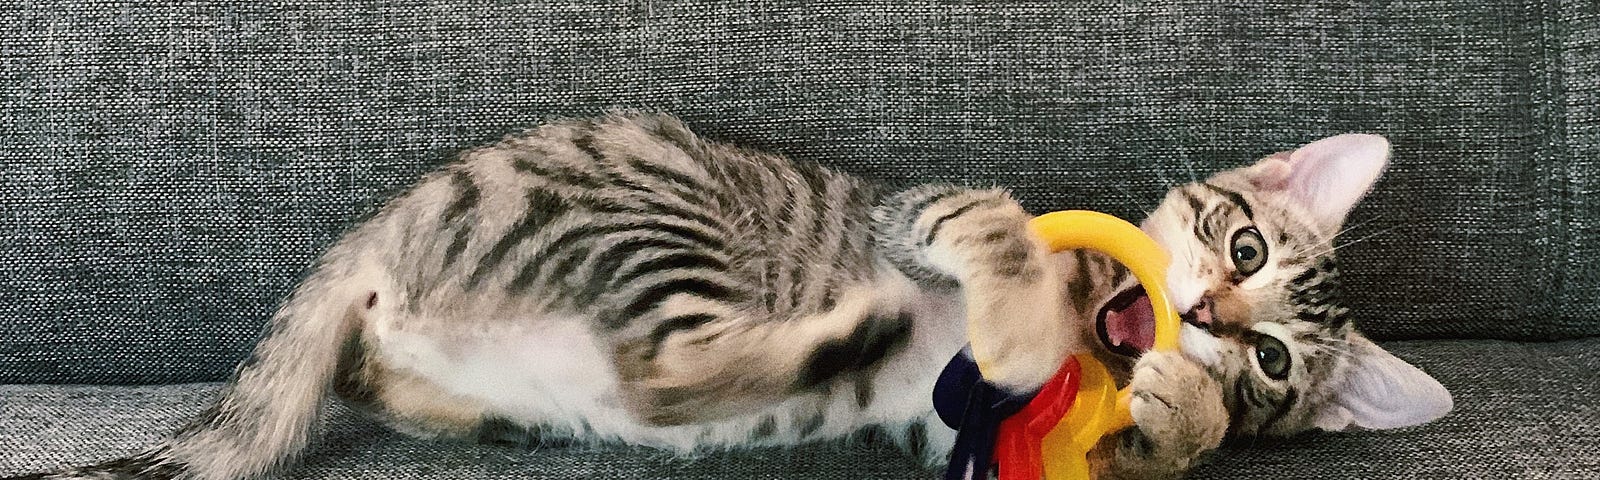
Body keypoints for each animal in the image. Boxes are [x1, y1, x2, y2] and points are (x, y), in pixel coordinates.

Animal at [6, 112, 1452, 480]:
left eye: (1277, 366)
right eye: (1246, 247)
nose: (1208, 319)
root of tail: (385, 225)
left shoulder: (953, 429)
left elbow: (1161, 448)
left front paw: (1176, 406)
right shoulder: (923, 212)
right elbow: (995, 236)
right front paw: (1028, 317)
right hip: (650, 217)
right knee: (663, 370)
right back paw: (856, 324)